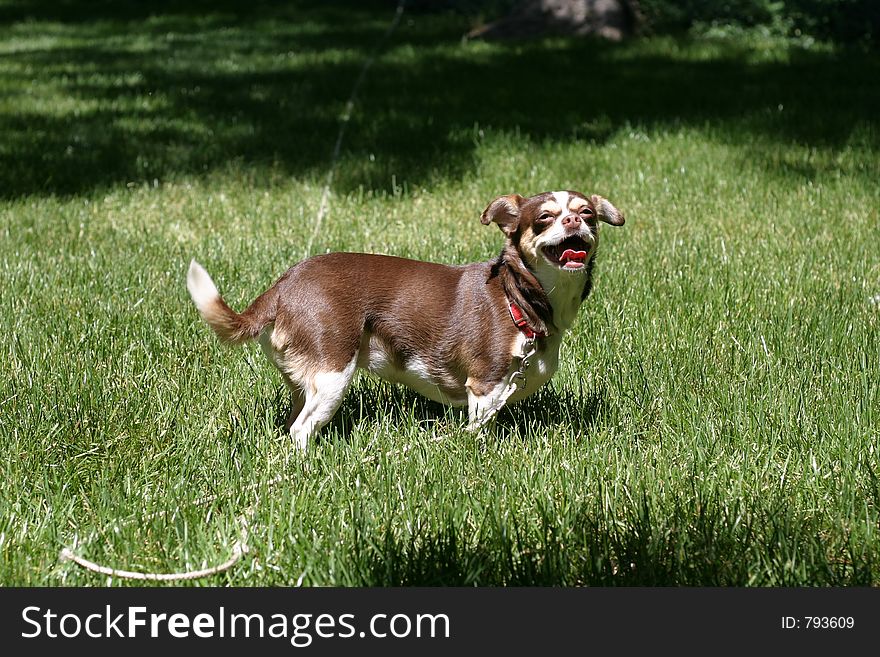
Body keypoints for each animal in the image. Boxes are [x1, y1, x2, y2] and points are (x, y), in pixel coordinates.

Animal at [187, 188, 624, 446]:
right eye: (545, 218)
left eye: (588, 214)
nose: (574, 221)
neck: (519, 297)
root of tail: (282, 286)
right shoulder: (483, 388)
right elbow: (477, 430)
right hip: (333, 373)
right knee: (301, 429)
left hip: (306, 380)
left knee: (293, 421)